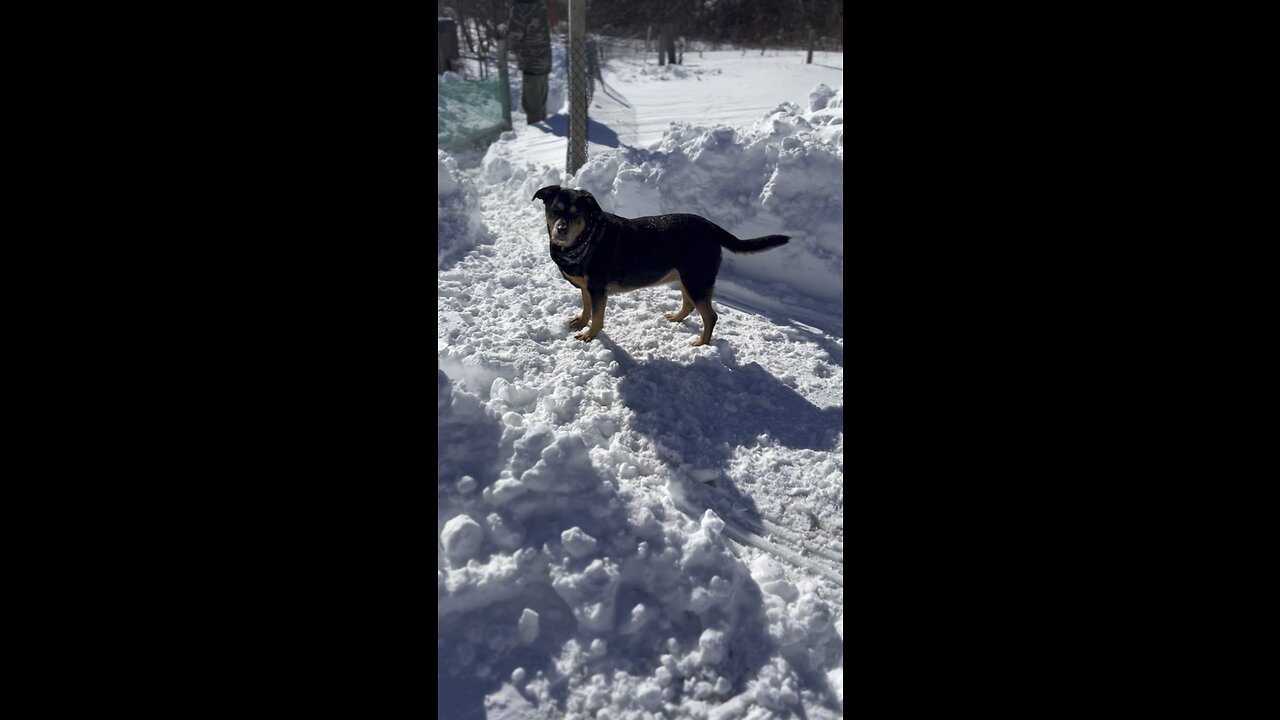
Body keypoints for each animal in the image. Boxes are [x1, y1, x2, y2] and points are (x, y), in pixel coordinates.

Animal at [532, 183, 788, 343]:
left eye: (577, 214)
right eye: (554, 210)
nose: (561, 230)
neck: (586, 238)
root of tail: (711, 227)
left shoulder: (597, 289)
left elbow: (597, 317)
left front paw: (589, 335)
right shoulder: (588, 288)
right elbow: (586, 308)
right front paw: (580, 322)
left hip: (696, 279)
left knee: (710, 316)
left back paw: (702, 344)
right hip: (686, 278)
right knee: (689, 305)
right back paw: (676, 318)